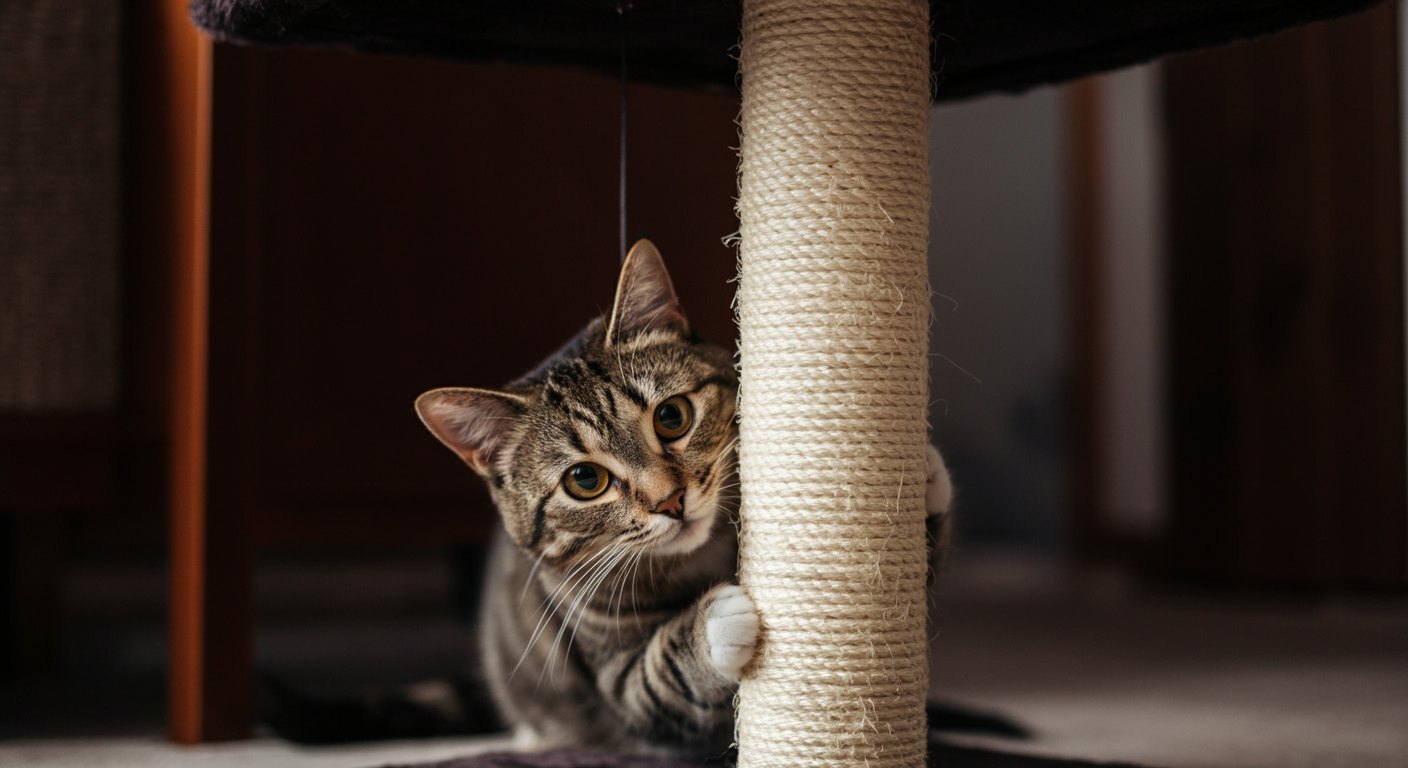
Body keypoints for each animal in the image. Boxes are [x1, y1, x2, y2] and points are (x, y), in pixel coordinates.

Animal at [411, 240, 957, 755]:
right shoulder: (621, 682)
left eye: (671, 416)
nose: (669, 501)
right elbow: (662, 673)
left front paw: (917, 480)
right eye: (584, 480)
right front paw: (716, 621)